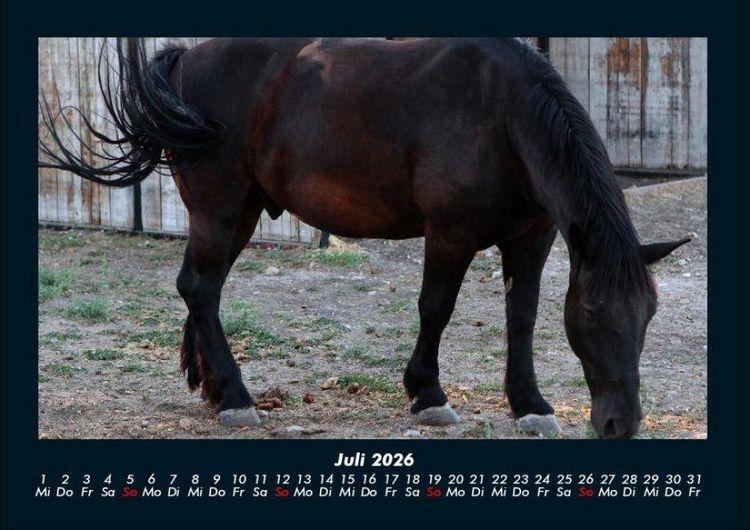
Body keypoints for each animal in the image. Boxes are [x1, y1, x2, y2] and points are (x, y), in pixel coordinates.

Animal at [39, 37, 689, 439]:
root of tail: (184, 61)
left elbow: (522, 318)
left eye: (649, 315)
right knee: (199, 287)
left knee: (203, 288)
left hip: (240, 213)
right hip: (219, 208)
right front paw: (428, 396)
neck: (502, 114)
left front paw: (529, 405)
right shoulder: (448, 235)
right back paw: (237, 398)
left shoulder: (534, 238)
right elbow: (436, 308)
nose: (620, 425)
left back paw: (214, 389)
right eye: (593, 313)